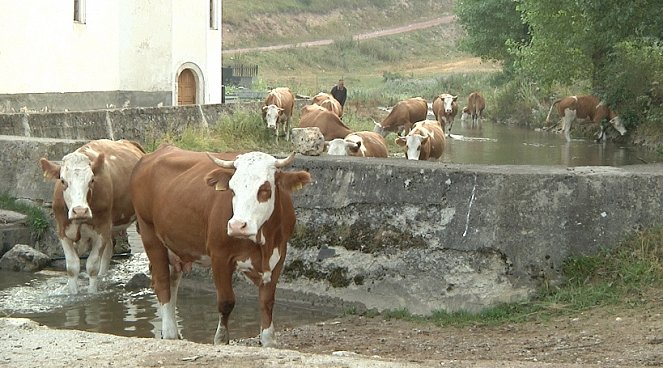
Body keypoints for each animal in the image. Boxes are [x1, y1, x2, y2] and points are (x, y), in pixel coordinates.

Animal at [39, 138, 145, 294]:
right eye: (63, 181)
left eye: (92, 180)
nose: (80, 211)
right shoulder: (62, 231)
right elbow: (72, 267)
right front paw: (73, 293)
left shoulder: (101, 230)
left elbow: (92, 266)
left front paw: (92, 293)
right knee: (108, 251)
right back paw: (103, 276)